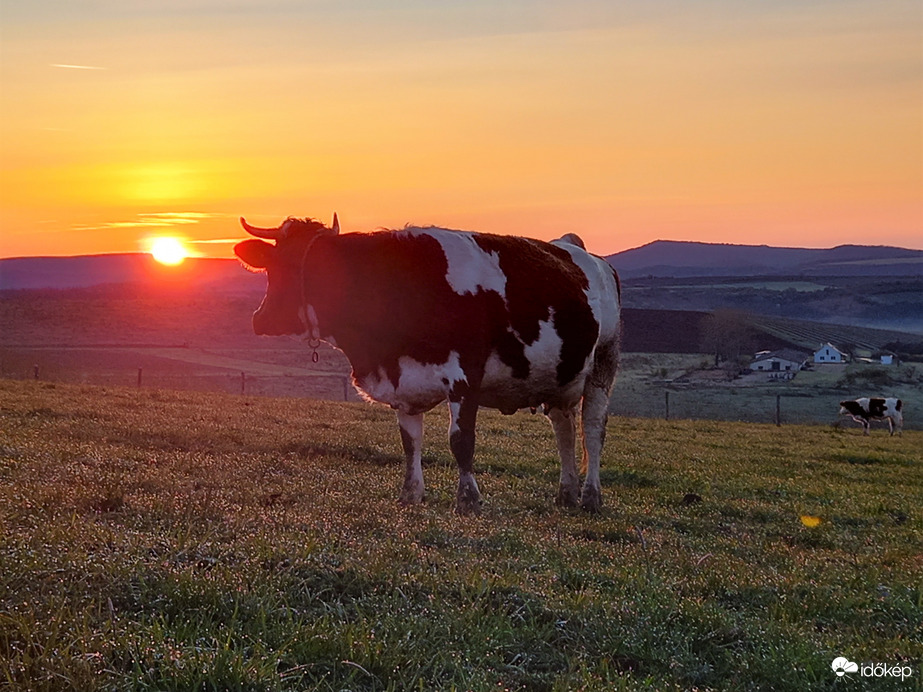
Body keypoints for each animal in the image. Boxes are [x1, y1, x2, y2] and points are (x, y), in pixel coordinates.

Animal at [233, 215, 620, 512]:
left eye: (287, 265)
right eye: (272, 263)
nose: (258, 320)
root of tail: (577, 248)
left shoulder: (465, 377)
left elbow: (461, 440)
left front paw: (468, 500)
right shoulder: (403, 382)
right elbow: (409, 442)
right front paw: (411, 494)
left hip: (604, 362)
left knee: (592, 430)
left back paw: (590, 497)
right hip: (561, 377)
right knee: (564, 429)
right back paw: (567, 494)